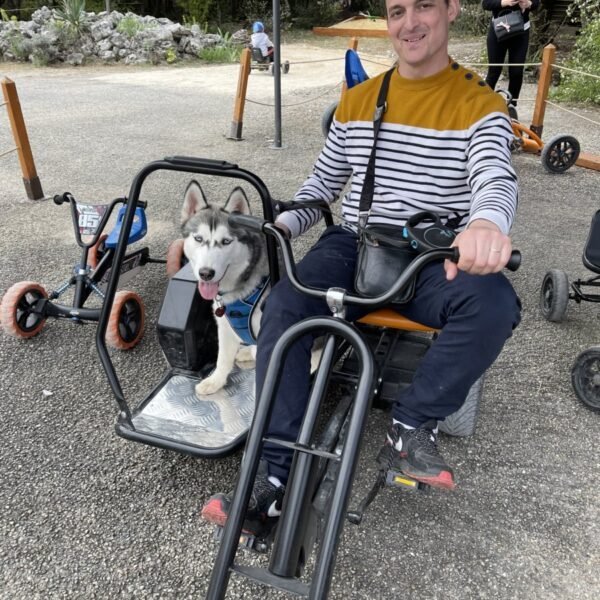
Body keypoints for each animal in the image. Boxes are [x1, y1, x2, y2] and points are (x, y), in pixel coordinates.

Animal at [182, 183, 268, 398]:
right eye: (198, 238)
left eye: (226, 241)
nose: (206, 273)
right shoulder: (224, 327)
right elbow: (222, 359)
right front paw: (215, 382)